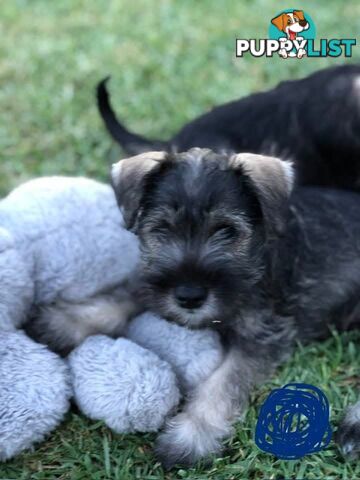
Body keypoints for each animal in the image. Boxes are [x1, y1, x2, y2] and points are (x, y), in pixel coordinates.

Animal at [111, 148, 360, 466]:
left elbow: (222, 383)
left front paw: (188, 437)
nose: (189, 296)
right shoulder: (149, 286)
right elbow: (121, 299)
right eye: (162, 229)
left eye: (227, 230)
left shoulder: (262, 336)